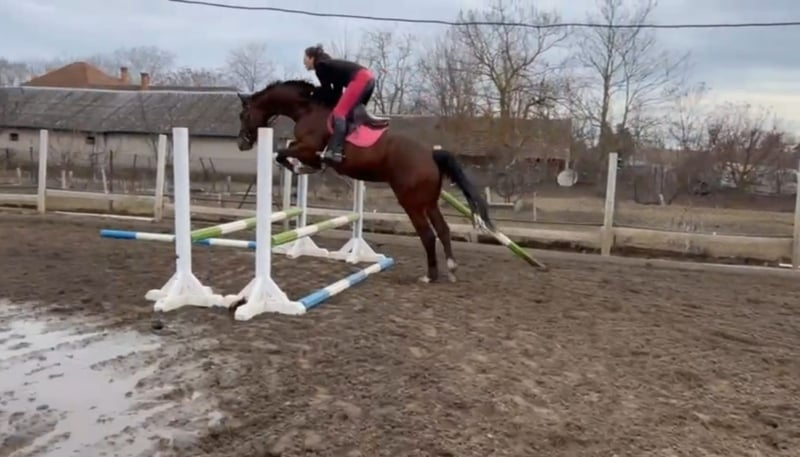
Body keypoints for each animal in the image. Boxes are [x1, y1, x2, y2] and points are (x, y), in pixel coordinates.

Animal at [235, 79, 494, 284]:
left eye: (243, 115)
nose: (242, 144)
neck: (307, 109)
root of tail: (430, 154)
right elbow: (285, 152)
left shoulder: (308, 149)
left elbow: (281, 153)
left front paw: (298, 167)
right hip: (428, 202)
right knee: (443, 229)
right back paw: (451, 269)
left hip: (411, 202)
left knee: (428, 234)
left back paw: (430, 276)